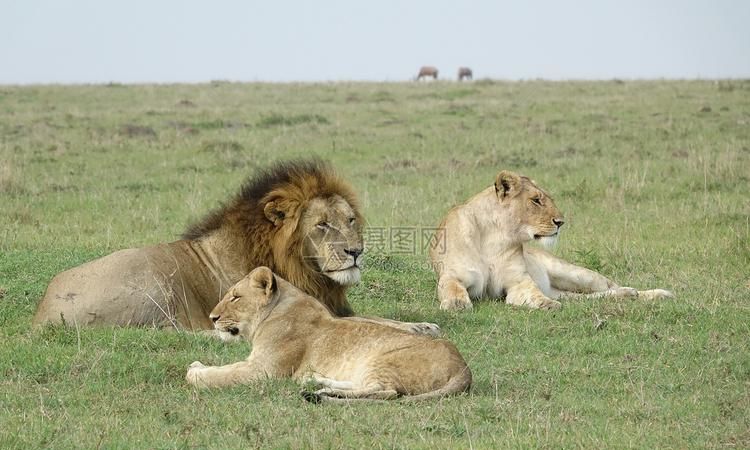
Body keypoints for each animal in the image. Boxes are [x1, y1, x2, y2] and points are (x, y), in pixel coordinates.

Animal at [33, 158, 440, 334]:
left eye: (350, 220)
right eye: (322, 225)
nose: (355, 252)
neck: (303, 269)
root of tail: (42, 313)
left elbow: (379, 319)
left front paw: (422, 325)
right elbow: (369, 322)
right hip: (153, 280)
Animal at [186, 266, 472, 402]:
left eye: (235, 297)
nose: (212, 318)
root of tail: (464, 368)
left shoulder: (263, 371)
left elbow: (222, 375)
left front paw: (194, 371)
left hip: (383, 361)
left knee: (386, 392)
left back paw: (321, 392)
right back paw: (317, 383)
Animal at [432, 169, 680, 310]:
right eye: (536, 200)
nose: (560, 222)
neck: (495, 235)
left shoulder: (519, 281)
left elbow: (533, 293)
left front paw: (546, 304)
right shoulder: (454, 274)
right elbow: (452, 287)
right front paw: (456, 304)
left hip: (576, 274)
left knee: (609, 286)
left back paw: (652, 293)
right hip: (568, 290)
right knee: (586, 298)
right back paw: (629, 295)